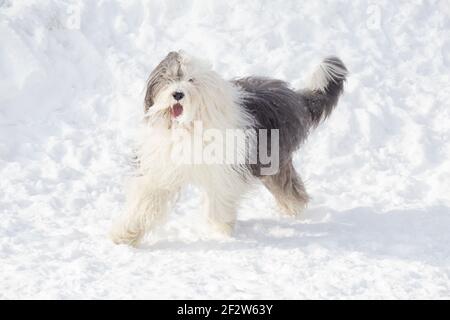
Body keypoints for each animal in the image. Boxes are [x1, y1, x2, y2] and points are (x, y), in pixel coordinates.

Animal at [110, 50, 348, 246]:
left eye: (191, 80)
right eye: (169, 78)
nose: (177, 94)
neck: (189, 126)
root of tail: (294, 96)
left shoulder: (225, 171)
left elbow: (220, 199)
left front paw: (221, 230)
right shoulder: (161, 170)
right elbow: (146, 199)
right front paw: (125, 234)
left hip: (273, 160)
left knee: (290, 189)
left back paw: (296, 213)